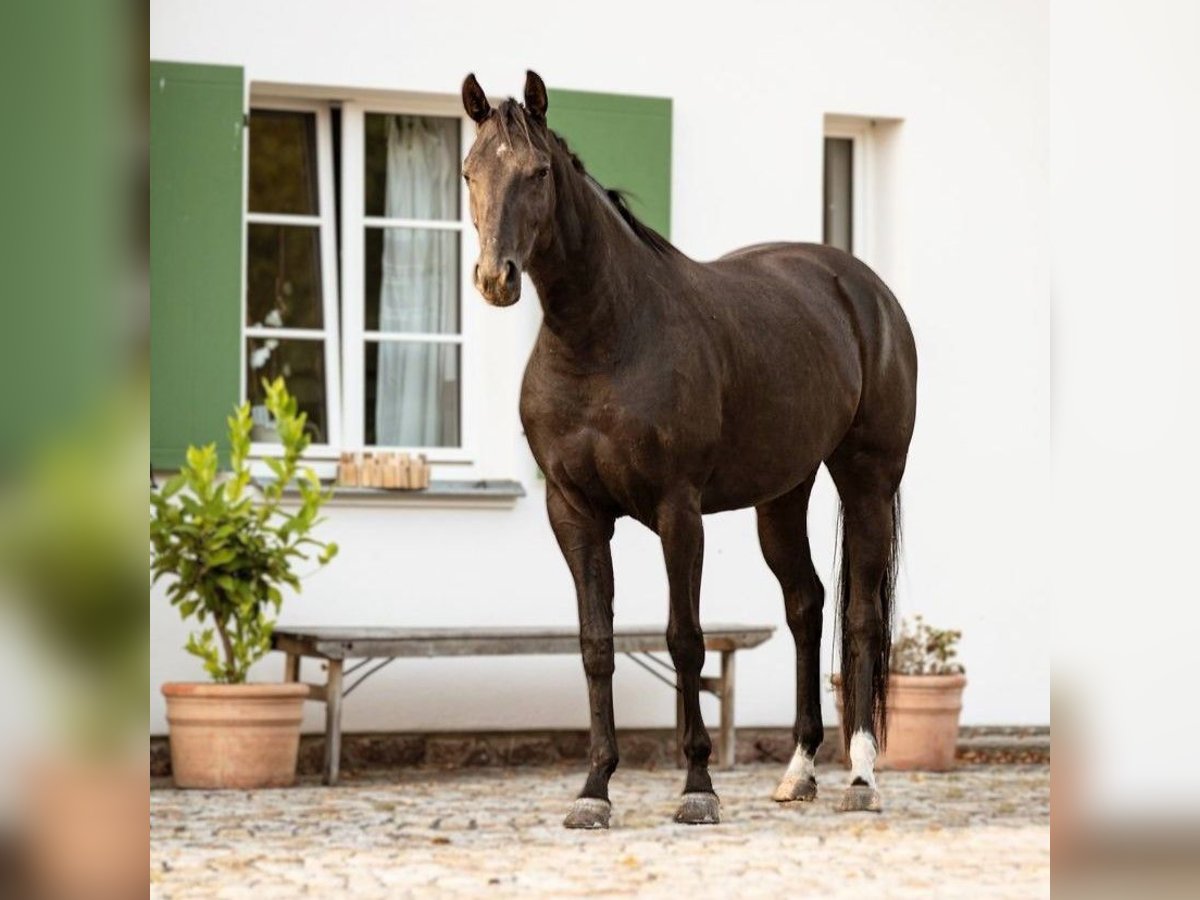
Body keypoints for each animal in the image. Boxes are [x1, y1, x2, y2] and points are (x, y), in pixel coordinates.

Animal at [460, 72, 916, 830]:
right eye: (470, 171)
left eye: (539, 171)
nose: (497, 278)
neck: (605, 338)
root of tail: (866, 291)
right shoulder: (573, 512)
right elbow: (595, 644)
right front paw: (594, 789)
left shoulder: (679, 511)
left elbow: (685, 639)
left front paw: (698, 786)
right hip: (781, 498)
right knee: (806, 604)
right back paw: (798, 771)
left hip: (867, 483)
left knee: (860, 616)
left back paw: (860, 777)